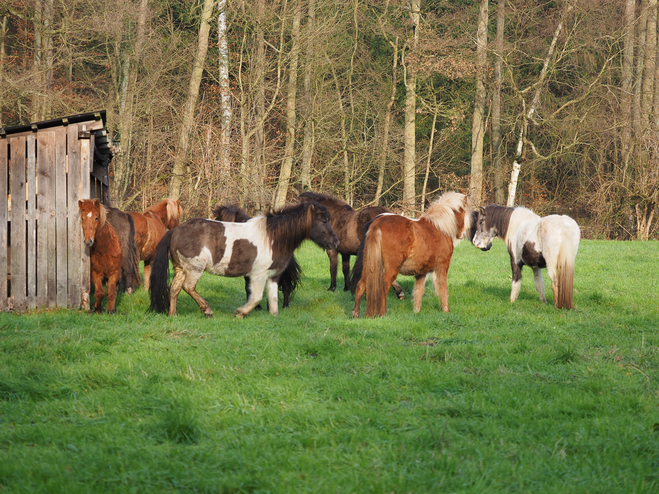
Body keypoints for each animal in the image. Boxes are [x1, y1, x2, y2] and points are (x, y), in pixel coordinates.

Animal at [147, 203, 338, 318]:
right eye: (323, 220)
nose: (335, 242)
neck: (273, 238)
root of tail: (175, 231)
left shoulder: (273, 276)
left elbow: (273, 301)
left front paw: (273, 317)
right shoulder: (257, 276)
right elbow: (256, 298)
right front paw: (241, 312)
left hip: (181, 268)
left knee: (174, 289)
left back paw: (173, 314)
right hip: (194, 269)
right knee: (188, 287)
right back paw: (207, 310)